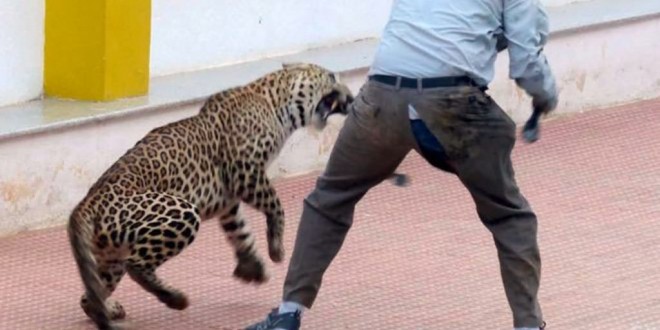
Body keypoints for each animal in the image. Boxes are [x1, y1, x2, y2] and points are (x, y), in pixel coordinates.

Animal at [66, 62, 354, 330]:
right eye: (331, 77)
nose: (351, 98)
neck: (275, 103)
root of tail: (85, 205)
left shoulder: (229, 198)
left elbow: (240, 230)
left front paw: (252, 267)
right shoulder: (246, 172)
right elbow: (276, 205)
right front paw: (276, 249)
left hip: (111, 254)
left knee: (91, 293)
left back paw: (108, 309)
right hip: (181, 214)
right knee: (136, 265)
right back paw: (176, 299)